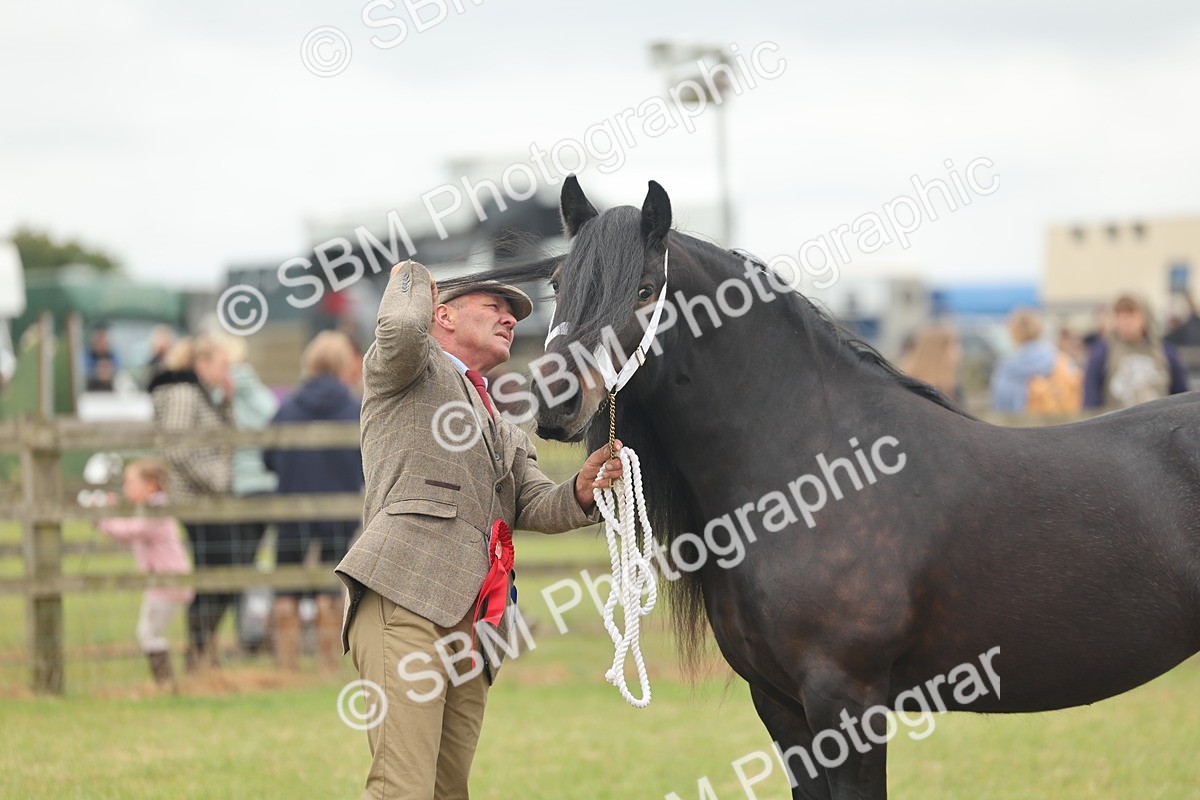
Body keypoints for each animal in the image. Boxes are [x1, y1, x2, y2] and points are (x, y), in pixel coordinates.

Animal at [439, 177, 1200, 799]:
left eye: (646, 291)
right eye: (560, 284)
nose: (555, 401)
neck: (817, 472)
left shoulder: (849, 704)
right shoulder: (782, 707)